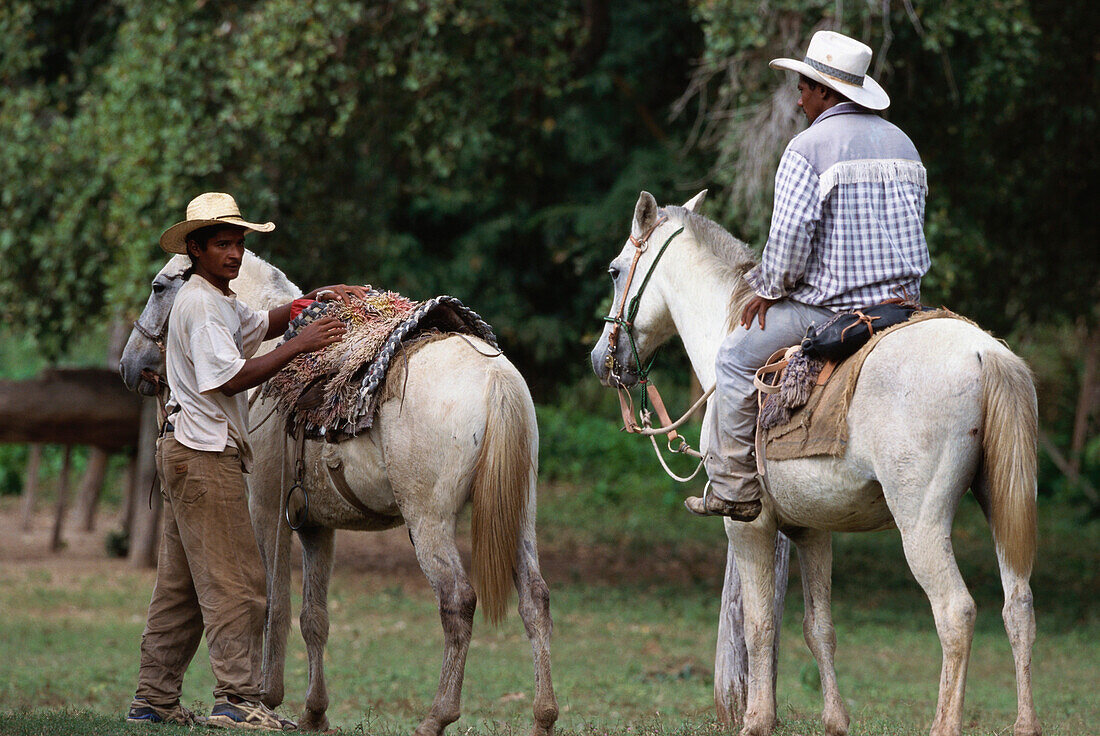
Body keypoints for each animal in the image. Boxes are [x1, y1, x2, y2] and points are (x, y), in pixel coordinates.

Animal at [120, 250, 558, 734]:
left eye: (159, 287)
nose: (129, 364)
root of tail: (494, 376)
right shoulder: (315, 526)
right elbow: (314, 617)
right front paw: (314, 711)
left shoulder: (264, 511)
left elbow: (271, 603)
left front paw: (264, 699)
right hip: (519, 514)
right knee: (535, 598)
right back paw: (543, 715)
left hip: (430, 522)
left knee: (458, 600)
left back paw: (437, 716)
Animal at [589, 191, 1034, 734]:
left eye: (614, 271)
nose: (601, 359)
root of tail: (985, 354)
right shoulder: (813, 528)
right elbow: (818, 627)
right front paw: (835, 719)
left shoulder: (749, 525)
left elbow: (759, 624)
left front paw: (757, 719)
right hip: (1001, 506)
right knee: (1018, 608)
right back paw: (1026, 723)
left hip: (922, 525)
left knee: (956, 612)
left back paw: (944, 724)